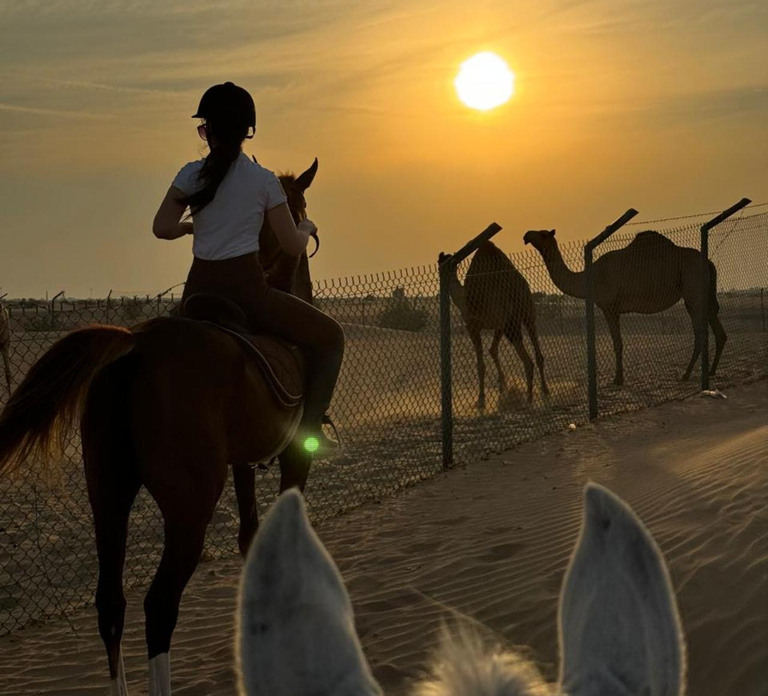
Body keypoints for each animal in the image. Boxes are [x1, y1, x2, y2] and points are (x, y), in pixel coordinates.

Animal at [0, 159, 321, 696]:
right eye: (296, 208)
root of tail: (137, 347)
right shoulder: (294, 456)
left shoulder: (243, 464)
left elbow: (251, 538)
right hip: (189, 508)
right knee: (159, 606)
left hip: (108, 495)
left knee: (111, 603)